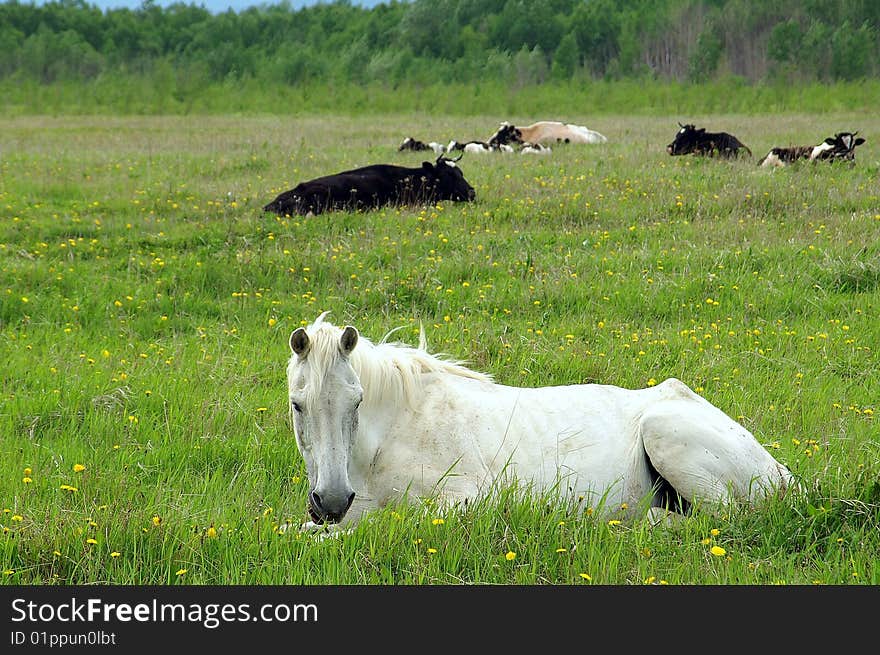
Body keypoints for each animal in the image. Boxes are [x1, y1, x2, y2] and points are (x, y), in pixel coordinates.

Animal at [286, 312, 796, 528]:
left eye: (356, 402)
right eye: (298, 404)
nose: (332, 501)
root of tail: (783, 475)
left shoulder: (468, 499)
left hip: (664, 432)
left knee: (721, 520)